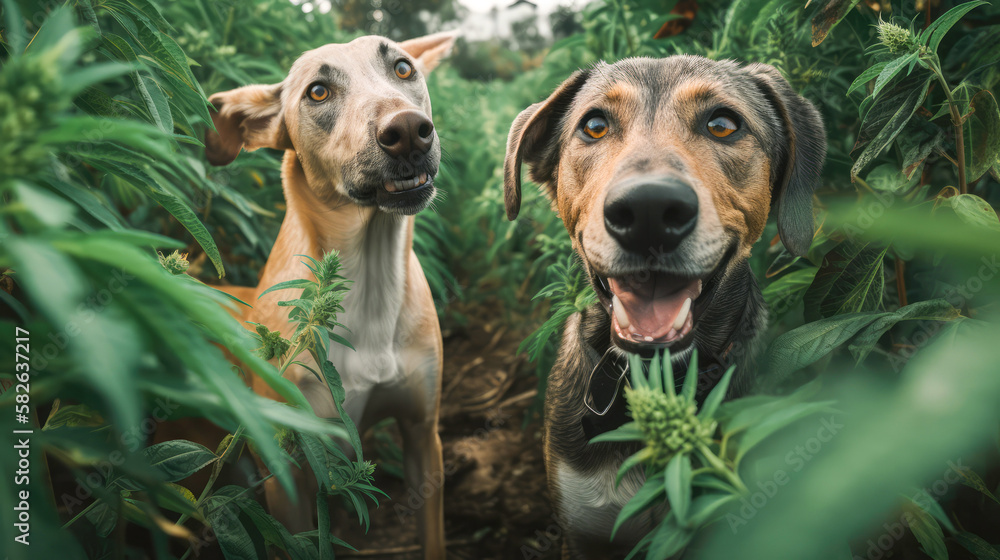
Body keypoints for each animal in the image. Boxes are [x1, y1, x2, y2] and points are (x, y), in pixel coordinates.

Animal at [207, 32, 458, 556]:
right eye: (318, 92)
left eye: (403, 68)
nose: (409, 131)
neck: (370, 286)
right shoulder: (287, 476)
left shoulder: (423, 436)